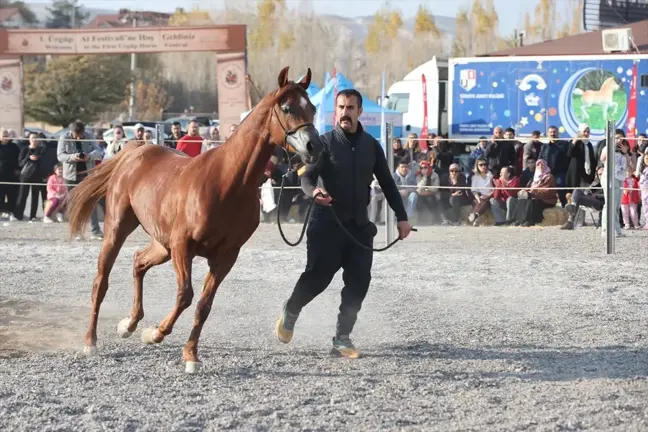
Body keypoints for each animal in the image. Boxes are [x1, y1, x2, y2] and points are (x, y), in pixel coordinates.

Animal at [66, 66, 322, 372]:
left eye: (313, 108)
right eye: (287, 107)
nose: (315, 146)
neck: (228, 182)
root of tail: (135, 152)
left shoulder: (225, 257)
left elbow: (203, 305)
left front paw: (190, 355)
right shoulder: (183, 246)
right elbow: (185, 295)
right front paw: (155, 334)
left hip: (162, 244)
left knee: (139, 262)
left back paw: (128, 324)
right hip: (119, 230)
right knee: (101, 282)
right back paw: (91, 341)